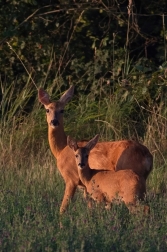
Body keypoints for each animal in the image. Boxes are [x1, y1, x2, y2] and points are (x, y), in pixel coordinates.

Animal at [37, 85, 153, 214]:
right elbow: (89, 205)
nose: (54, 121)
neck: (61, 150)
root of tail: (147, 156)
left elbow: (64, 206)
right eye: (47, 110)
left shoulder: (71, 178)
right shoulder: (86, 187)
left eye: (62, 110)